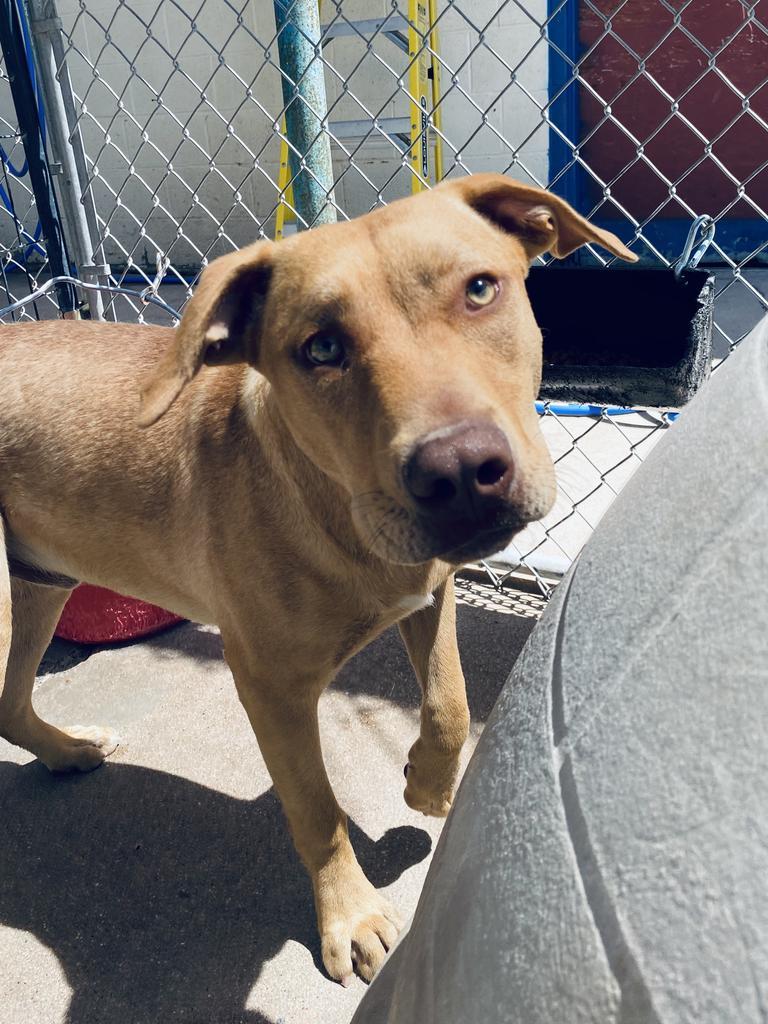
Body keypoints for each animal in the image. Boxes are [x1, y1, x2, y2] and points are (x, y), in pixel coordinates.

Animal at [0, 176, 638, 983]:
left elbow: (451, 704)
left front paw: (427, 784)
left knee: (9, 702)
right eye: (322, 347)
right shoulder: (268, 684)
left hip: (41, 583)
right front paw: (351, 917)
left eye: (480, 289)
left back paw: (63, 749)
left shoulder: (430, 592)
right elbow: (316, 809)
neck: (327, 499)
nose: (461, 472)